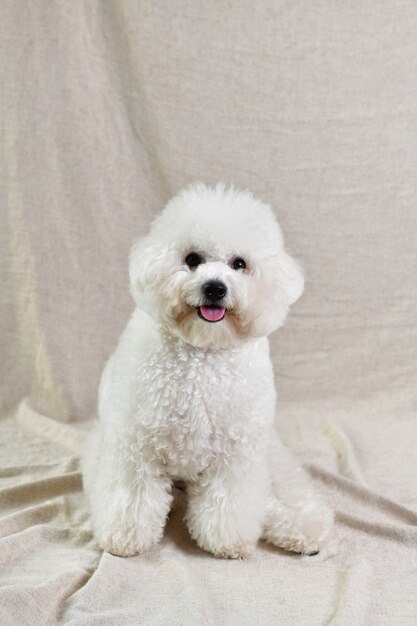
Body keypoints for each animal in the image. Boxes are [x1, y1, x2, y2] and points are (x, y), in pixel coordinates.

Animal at [83, 180, 334, 556]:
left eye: (239, 264)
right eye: (192, 259)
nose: (214, 287)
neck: (202, 354)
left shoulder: (237, 454)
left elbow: (229, 501)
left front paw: (226, 539)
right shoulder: (135, 446)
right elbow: (132, 497)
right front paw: (126, 536)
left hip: (272, 455)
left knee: (290, 491)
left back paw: (303, 527)